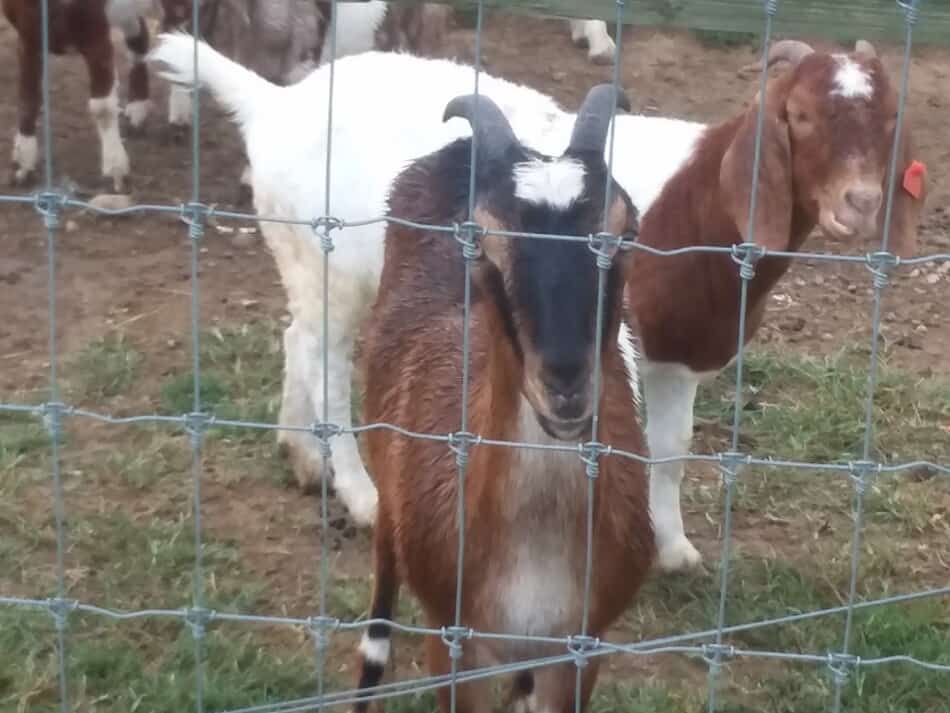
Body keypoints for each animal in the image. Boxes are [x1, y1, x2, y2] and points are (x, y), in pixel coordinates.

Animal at [3, 0, 154, 191]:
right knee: (140, 35)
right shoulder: (28, 36)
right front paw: (22, 163)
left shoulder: (97, 35)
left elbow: (102, 108)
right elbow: (27, 98)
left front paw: (115, 168)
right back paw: (138, 110)